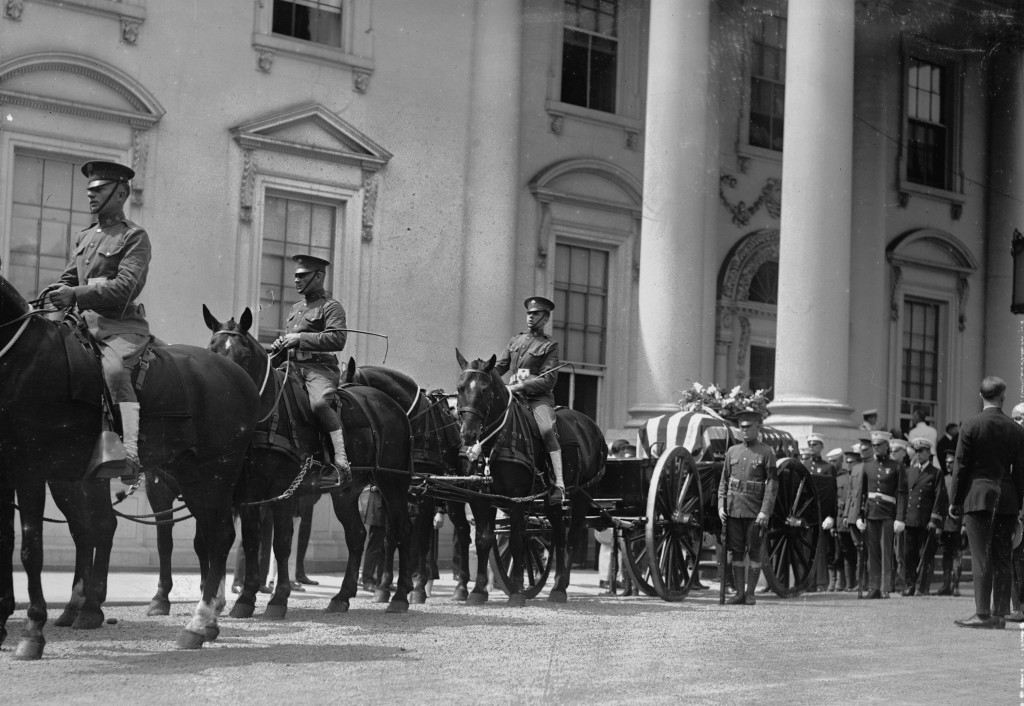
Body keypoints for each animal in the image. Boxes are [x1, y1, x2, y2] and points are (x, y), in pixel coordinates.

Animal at [0, 274, 260, 655]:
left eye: (245, 350)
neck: (24, 358)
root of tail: (239, 378)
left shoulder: (28, 469)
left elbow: (30, 548)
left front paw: (33, 631)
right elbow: (8, 541)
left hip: (216, 471)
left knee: (220, 535)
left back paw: (198, 623)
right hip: (190, 476)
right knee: (208, 536)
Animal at [202, 307, 415, 610]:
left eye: (244, 356)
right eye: (212, 350)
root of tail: (392, 405)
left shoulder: (282, 490)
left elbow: (281, 542)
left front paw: (278, 599)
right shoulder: (250, 491)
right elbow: (253, 540)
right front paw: (246, 598)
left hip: (392, 483)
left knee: (402, 530)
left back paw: (399, 596)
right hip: (346, 492)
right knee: (357, 535)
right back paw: (342, 596)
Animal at [342, 362, 473, 598]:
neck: (417, 424)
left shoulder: (424, 493)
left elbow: (422, 541)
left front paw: (418, 587)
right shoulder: (389, 490)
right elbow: (390, 538)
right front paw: (384, 586)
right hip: (452, 495)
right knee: (464, 531)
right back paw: (462, 586)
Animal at [456, 350, 606, 602]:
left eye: (485, 390)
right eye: (460, 388)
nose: (468, 435)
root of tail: (591, 426)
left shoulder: (516, 498)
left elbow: (517, 539)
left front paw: (517, 590)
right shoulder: (479, 497)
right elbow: (484, 539)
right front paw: (478, 591)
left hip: (581, 495)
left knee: (573, 536)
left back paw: (560, 587)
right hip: (550, 502)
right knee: (559, 535)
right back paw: (557, 586)